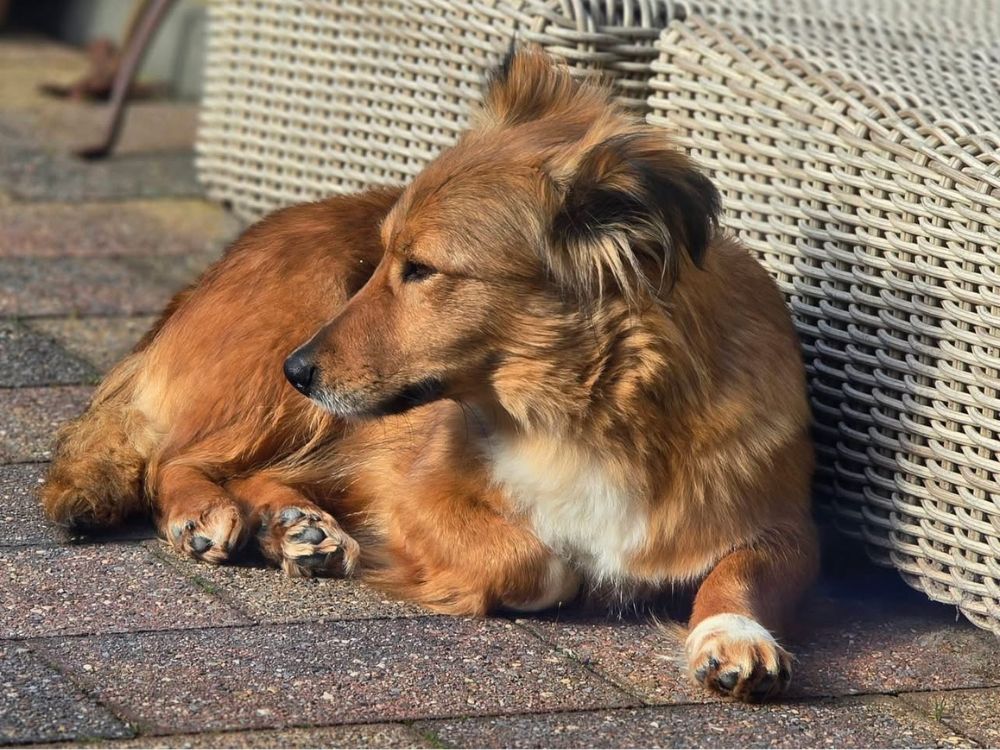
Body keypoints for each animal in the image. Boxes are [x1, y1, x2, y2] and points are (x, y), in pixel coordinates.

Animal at [41, 48, 817, 702]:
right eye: (385, 260)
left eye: (419, 269)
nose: (296, 368)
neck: (588, 410)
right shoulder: (415, 494)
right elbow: (542, 561)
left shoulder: (784, 526)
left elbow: (739, 573)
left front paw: (735, 638)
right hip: (293, 358)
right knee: (178, 458)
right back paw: (211, 512)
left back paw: (297, 528)